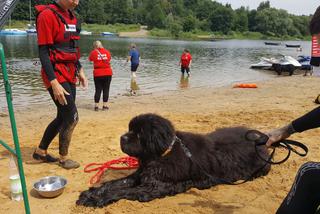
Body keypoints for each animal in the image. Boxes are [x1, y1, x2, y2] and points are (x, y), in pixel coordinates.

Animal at [77, 113, 270, 207]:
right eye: (130, 129)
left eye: (139, 133)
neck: (159, 155)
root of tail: (259, 139)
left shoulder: (155, 186)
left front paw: (96, 199)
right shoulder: (140, 175)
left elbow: (123, 191)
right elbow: (116, 183)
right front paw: (91, 193)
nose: (122, 137)